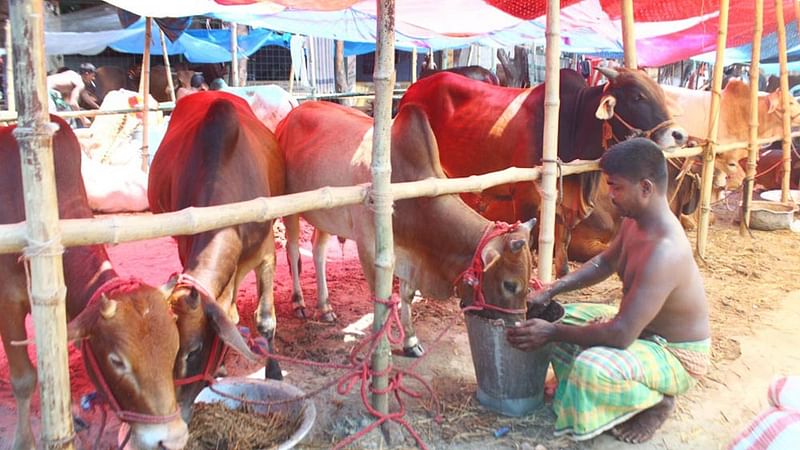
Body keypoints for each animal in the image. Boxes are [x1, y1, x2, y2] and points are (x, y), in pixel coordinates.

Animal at [0, 117, 186, 450]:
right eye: (117, 361)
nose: (173, 439)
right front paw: (24, 441)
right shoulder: (8, 302)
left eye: (174, 348)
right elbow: (24, 379)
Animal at [148, 91, 286, 418]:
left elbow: (265, 320)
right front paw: (222, 364)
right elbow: (230, 316)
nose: (178, 410)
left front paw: (274, 373)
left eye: (194, 350)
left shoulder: (266, 253)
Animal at [276, 101, 536, 356]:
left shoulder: (410, 253)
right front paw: (379, 351)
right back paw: (299, 301)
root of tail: (289, 115)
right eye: (510, 284)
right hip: (290, 207)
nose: (516, 327)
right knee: (293, 249)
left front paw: (410, 341)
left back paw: (325, 307)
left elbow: (407, 295)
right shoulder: (368, 245)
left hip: (326, 216)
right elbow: (380, 298)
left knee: (318, 252)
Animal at [400, 68, 688, 276]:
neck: (570, 123)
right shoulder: (525, 198)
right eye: (637, 96)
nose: (679, 135)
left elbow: (561, 251)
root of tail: (412, 89)